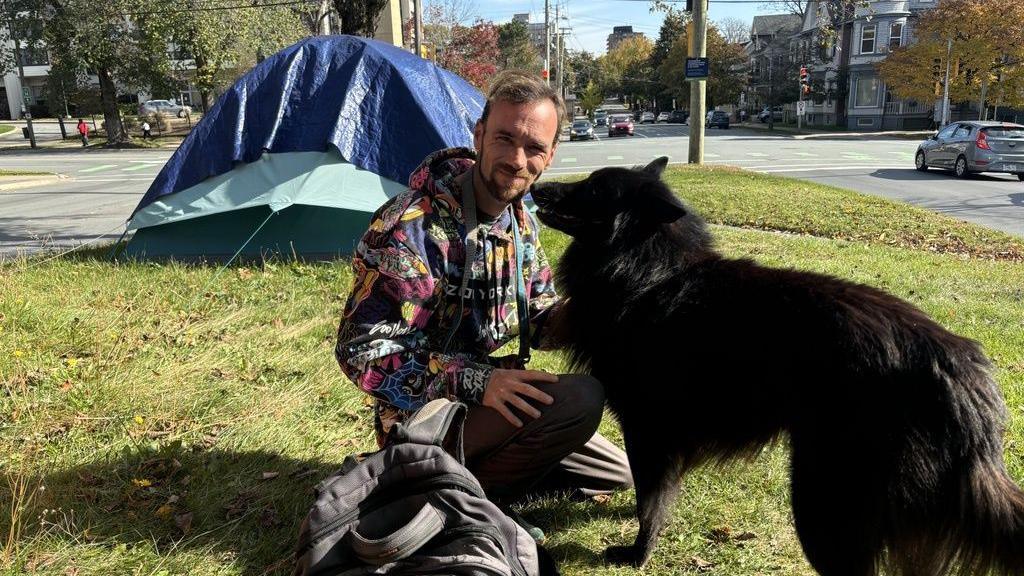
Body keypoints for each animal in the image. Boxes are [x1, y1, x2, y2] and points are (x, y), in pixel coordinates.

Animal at [528, 154, 1024, 569]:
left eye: (594, 187)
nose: (536, 188)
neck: (646, 272)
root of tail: (958, 365)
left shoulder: (648, 431)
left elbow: (651, 504)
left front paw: (637, 554)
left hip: (820, 501)